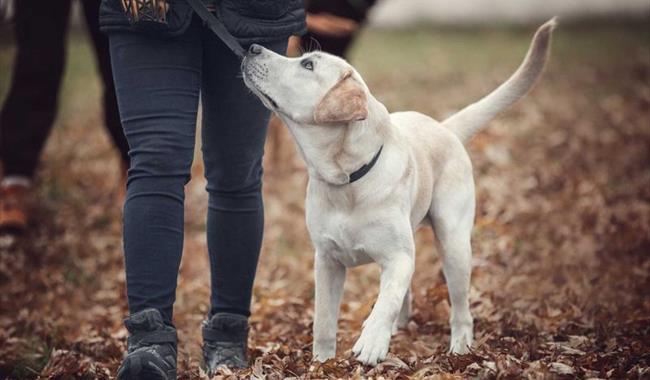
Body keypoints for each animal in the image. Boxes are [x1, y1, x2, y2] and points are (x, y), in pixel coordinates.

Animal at [240, 19, 556, 366]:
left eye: (307, 65)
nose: (252, 47)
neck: (347, 180)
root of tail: (444, 127)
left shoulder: (399, 257)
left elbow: (386, 300)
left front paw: (371, 341)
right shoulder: (327, 261)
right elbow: (324, 321)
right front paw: (322, 363)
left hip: (454, 243)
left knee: (459, 307)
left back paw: (460, 347)